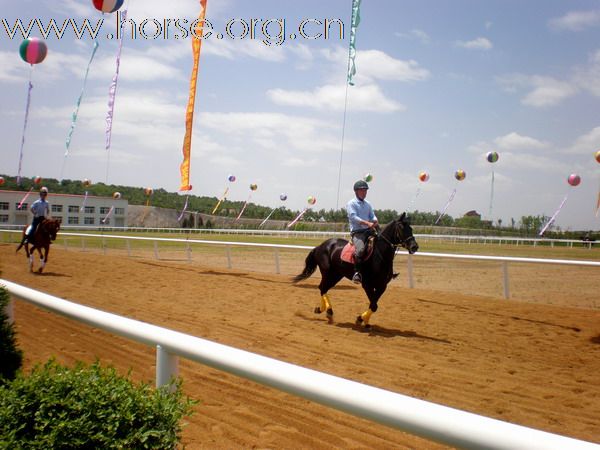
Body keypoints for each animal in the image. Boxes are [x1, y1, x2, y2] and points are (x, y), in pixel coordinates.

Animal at [292, 213, 420, 328]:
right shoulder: (367, 284)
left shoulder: (382, 286)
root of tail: (320, 246)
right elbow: (374, 305)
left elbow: (373, 304)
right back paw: (328, 312)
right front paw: (360, 319)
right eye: (401, 228)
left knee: (323, 288)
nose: (414, 246)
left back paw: (322, 310)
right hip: (327, 272)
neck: (380, 255)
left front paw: (365, 321)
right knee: (322, 288)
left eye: (411, 228)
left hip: (336, 275)